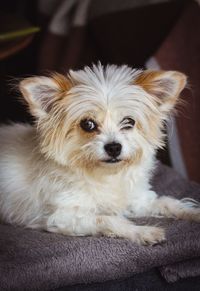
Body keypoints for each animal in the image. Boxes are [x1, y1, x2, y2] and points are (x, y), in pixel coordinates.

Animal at [0, 65, 200, 245]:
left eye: (129, 122)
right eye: (87, 124)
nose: (114, 147)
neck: (105, 176)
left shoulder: (136, 200)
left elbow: (168, 202)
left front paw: (193, 213)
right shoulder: (62, 217)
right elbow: (108, 219)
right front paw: (143, 231)